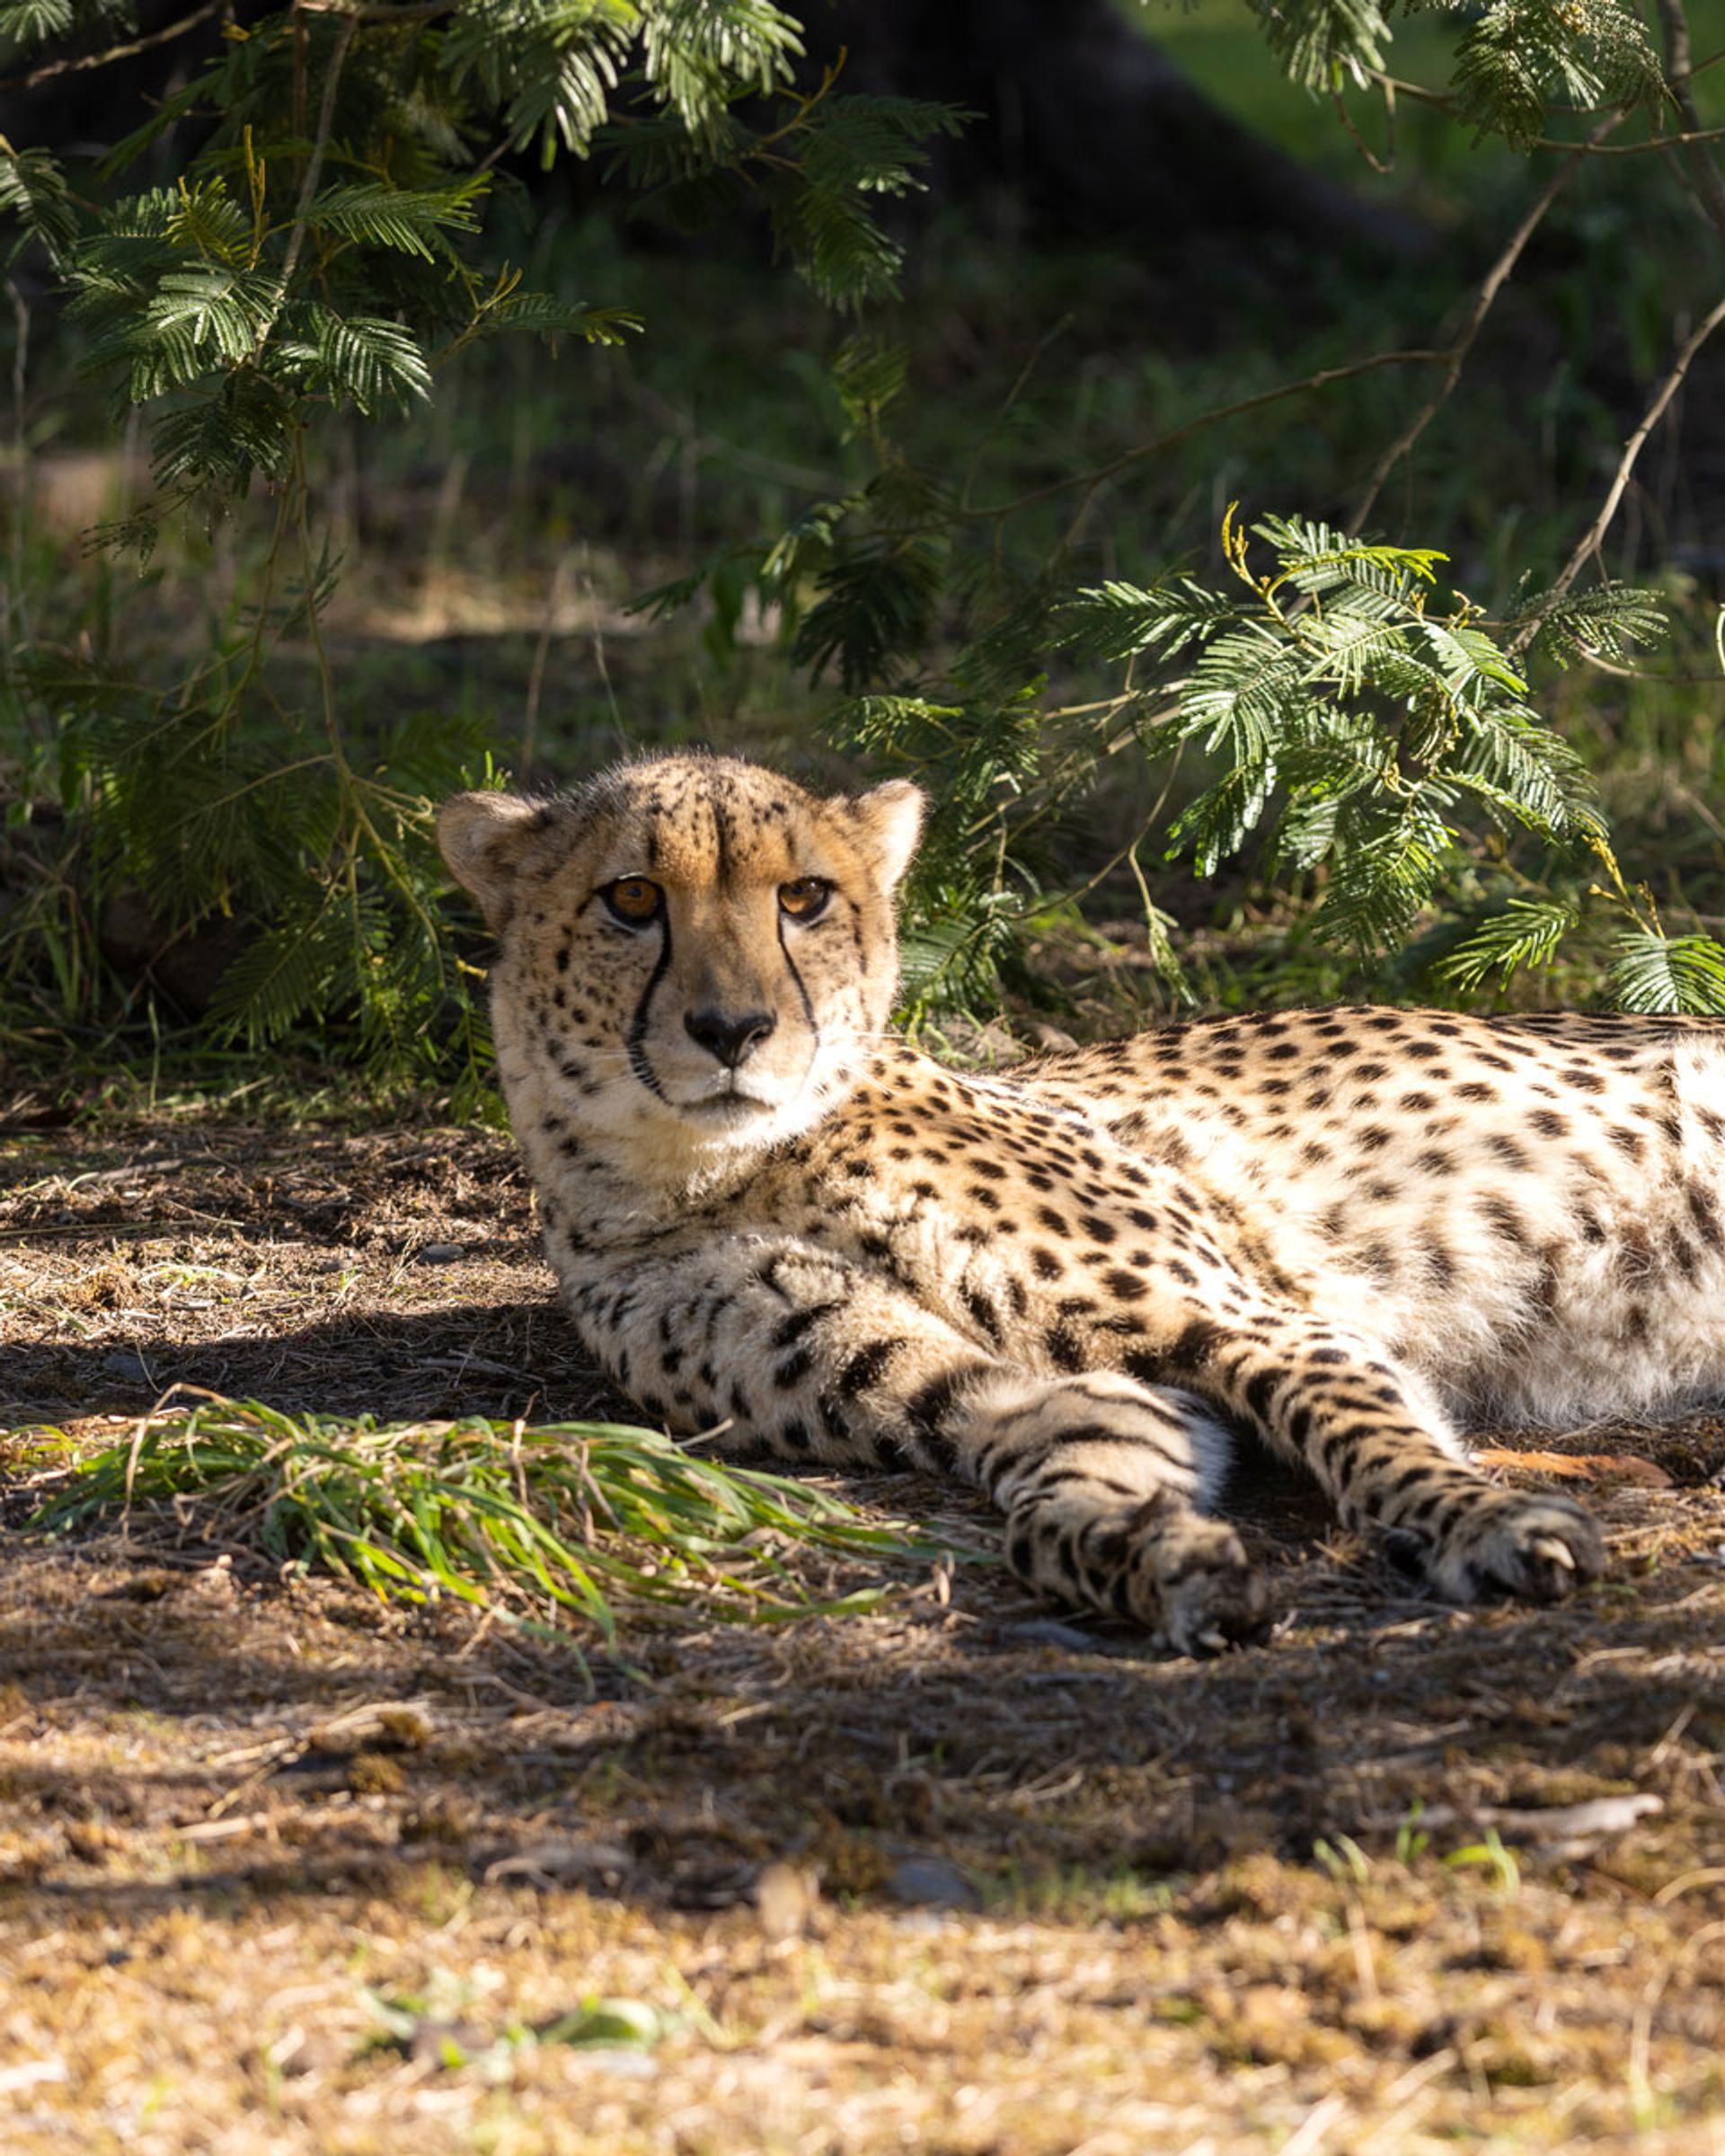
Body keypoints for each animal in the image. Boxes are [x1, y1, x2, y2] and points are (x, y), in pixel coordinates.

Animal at [438, 750, 1725, 1654]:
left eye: (803, 897)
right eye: (632, 898)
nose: (733, 1029)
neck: (704, 1172)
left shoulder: (1259, 1320)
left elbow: (1365, 1432)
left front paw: (1482, 1524)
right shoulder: (1027, 1398)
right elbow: (1060, 1496)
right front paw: (1164, 1565)